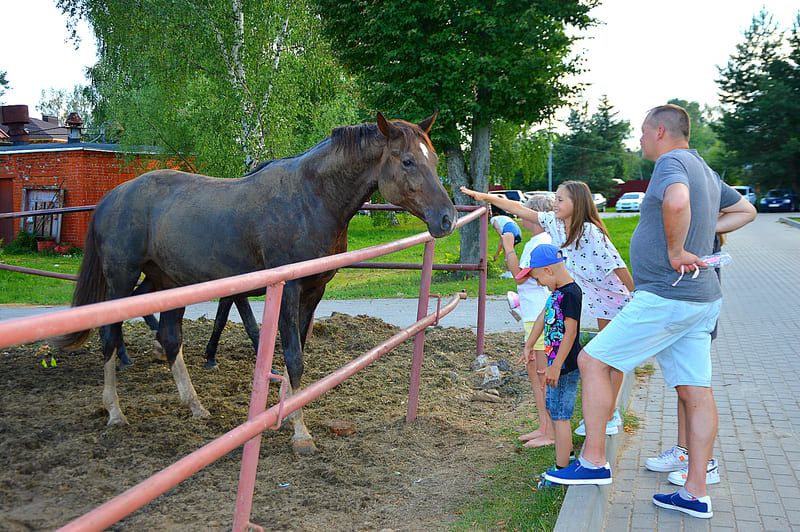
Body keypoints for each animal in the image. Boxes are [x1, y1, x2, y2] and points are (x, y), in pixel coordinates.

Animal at [53, 112, 456, 454]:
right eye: (407, 161)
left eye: (434, 161)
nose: (447, 218)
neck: (311, 198)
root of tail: (110, 199)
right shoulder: (289, 289)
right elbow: (293, 357)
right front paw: (301, 434)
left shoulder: (314, 290)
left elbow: (298, 353)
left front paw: (288, 415)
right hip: (121, 283)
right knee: (110, 336)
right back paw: (115, 412)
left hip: (166, 283)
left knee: (169, 339)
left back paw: (195, 406)